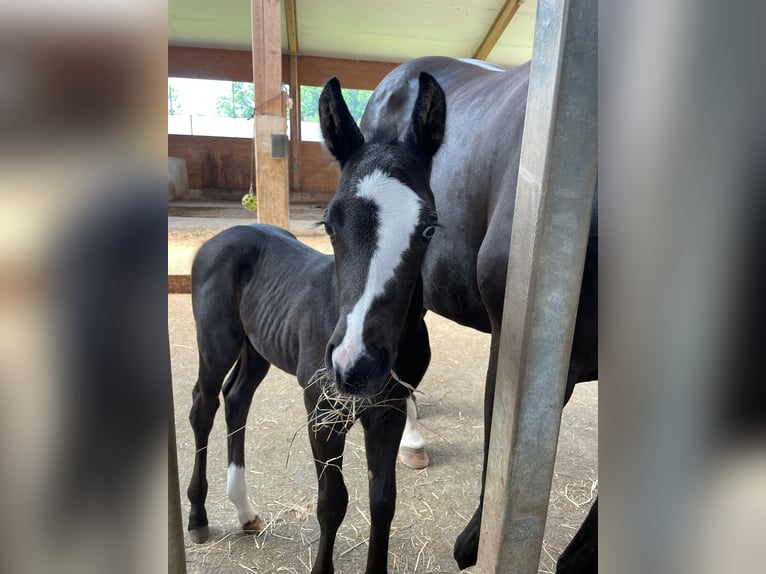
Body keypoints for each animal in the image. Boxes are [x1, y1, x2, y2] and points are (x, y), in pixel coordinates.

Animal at [186, 223, 432, 574]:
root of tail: (217, 239)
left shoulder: (389, 412)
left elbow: (383, 500)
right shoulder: (323, 412)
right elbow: (332, 500)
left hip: (258, 346)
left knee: (237, 398)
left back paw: (245, 511)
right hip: (216, 344)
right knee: (203, 408)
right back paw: (198, 517)